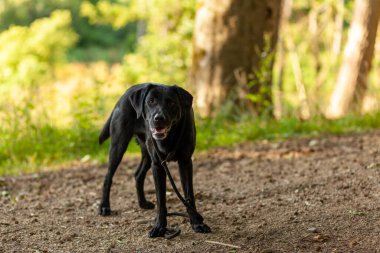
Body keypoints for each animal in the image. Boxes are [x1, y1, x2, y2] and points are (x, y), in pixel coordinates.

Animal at [97, 82, 211, 237]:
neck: (170, 137)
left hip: (146, 154)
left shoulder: (185, 162)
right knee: (108, 178)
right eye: (151, 101)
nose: (158, 118)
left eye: (171, 102)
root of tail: (126, 93)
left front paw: (197, 223)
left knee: (138, 174)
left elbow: (189, 196)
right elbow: (161, 199)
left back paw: (143, 203)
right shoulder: (157, 165)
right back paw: (104, 207)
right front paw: (159, 227)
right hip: (118, 146)